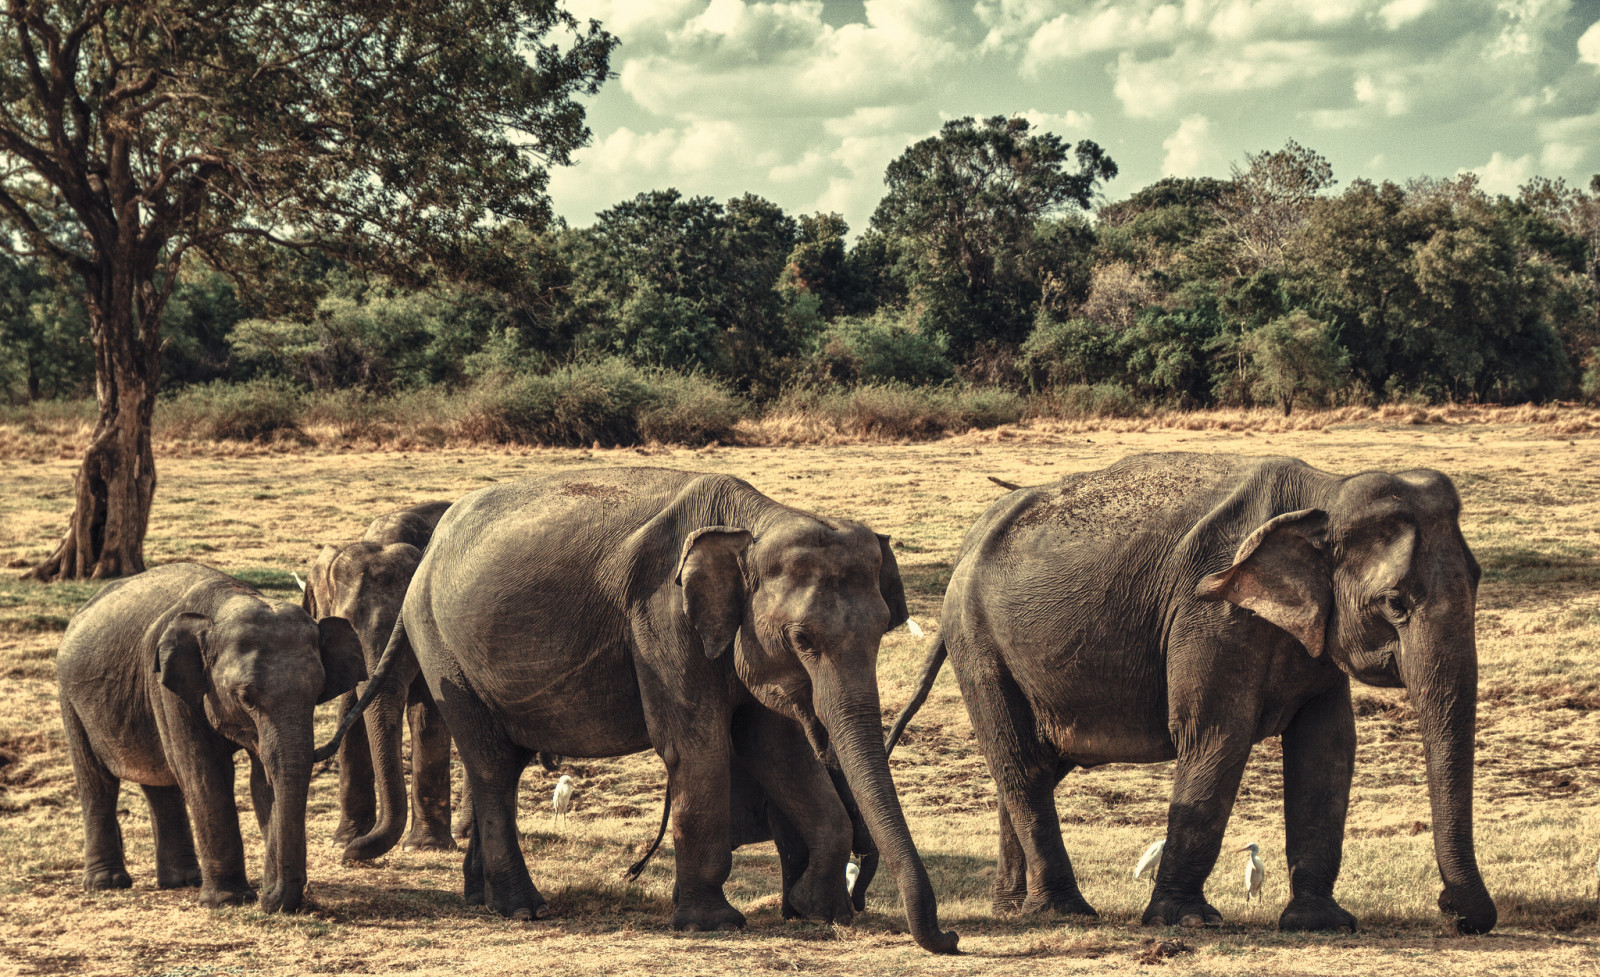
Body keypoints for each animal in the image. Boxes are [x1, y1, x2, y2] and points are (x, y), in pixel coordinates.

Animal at [57, 562, 366, 914]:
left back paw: (183, 880)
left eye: (317, 694)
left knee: (161, 783)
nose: (269, 898)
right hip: (70, 697)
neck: (230, 600)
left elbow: (263, 779)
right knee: (97, 782)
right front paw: (229, 900)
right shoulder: (165, 685)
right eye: (246, 698)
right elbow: (206, 773)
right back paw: (106, 883)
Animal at [318, 470, 953, 953]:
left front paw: (819, 912)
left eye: (884, 628)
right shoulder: (661, 619)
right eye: (802, 638)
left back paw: (485, 899)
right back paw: (523, 910)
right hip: (443, 647)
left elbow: (776, 749)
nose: (948, 938)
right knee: (493, 766)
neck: (754, 522)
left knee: (502, 762)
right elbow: (698, 747)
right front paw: (714, 925)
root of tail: (427, 555)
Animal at [896, 454, 1491, 933]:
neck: (1325, 491)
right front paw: (1187, 921)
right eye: (1395, 602)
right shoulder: (1210, 612)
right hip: (980, 645)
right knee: (1021, 762)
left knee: (1033, 766)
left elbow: (1328, 748)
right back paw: (1064, 913)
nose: (1455, 913)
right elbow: (1215, 735)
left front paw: (1321, 923)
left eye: (1479, 578)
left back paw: (1013, 908)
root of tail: (971, 540)